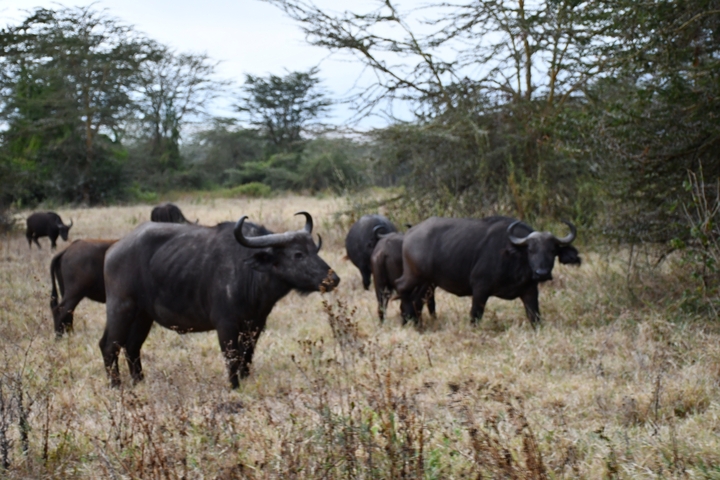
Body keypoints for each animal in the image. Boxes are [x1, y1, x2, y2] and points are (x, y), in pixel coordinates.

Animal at [100, 212, 339, 388]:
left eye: (314, 249)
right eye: (298, 254)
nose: (333, 279)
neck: (249, 273)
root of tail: (113, 249)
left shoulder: (255, 325)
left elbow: (246, 356)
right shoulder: (226, 325)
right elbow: (231, 357)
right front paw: (234, 386)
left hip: (143, 315)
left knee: (132, 346)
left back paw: (139, 382)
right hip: (121, 308)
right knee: (108, 345)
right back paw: (116, 385)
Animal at [396, 216, 580, 326]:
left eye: (552, 250)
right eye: (531, 250)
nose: (542, 273)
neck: (513, 258)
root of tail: (410, 232)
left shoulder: (529, 291)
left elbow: (535, 317)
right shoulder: (480, 290)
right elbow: (475, 316)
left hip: (427, 282)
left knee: (416, 298)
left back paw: (415, 321)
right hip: (413, 276)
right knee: (401, 288)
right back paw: (407, 319)